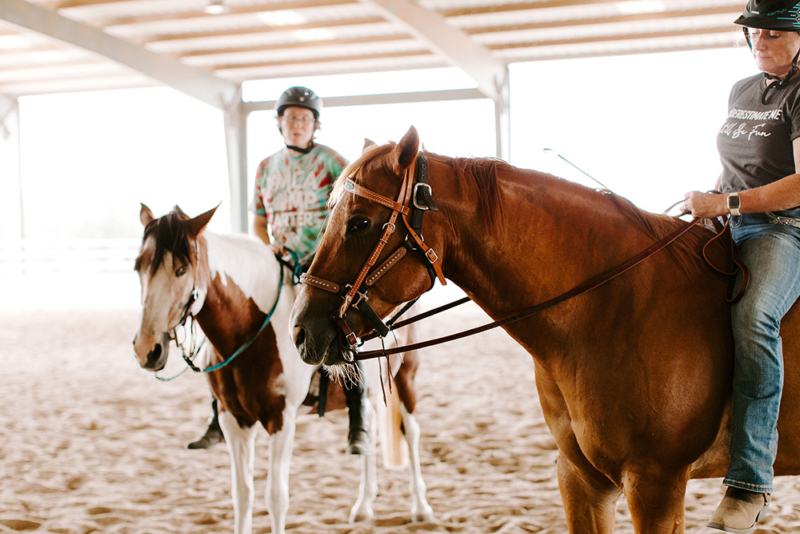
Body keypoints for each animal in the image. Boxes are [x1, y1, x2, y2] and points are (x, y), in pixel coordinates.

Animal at [133, 205, 432, 534]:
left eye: (181, 270)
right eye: (138, 267)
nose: (147, 349)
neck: (252, 329)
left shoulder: (282, 418)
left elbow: (276, 497)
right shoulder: (233, 419)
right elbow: (242, 494)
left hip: (407, 376)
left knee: (412, 432)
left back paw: (421, 508)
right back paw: (364, 505)